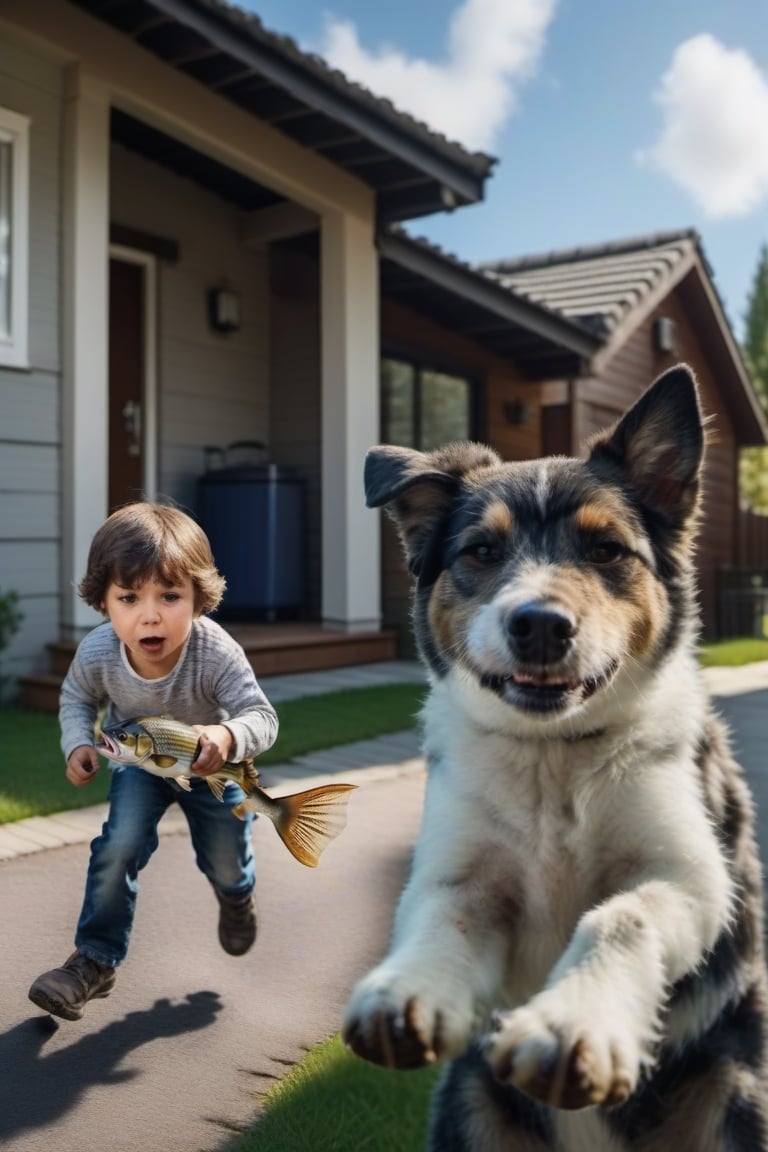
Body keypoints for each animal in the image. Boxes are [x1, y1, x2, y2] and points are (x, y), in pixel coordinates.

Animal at [343, 366, 768, 1152]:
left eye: (606, 550)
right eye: (481, 551)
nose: (539, 624)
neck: (555, 763)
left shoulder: (692, 880)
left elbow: (620, 917)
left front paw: (574, 1023)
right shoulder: (466, 880)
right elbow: (440, 914)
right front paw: (403, 988)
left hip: (733, 1092)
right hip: (471, 1105)